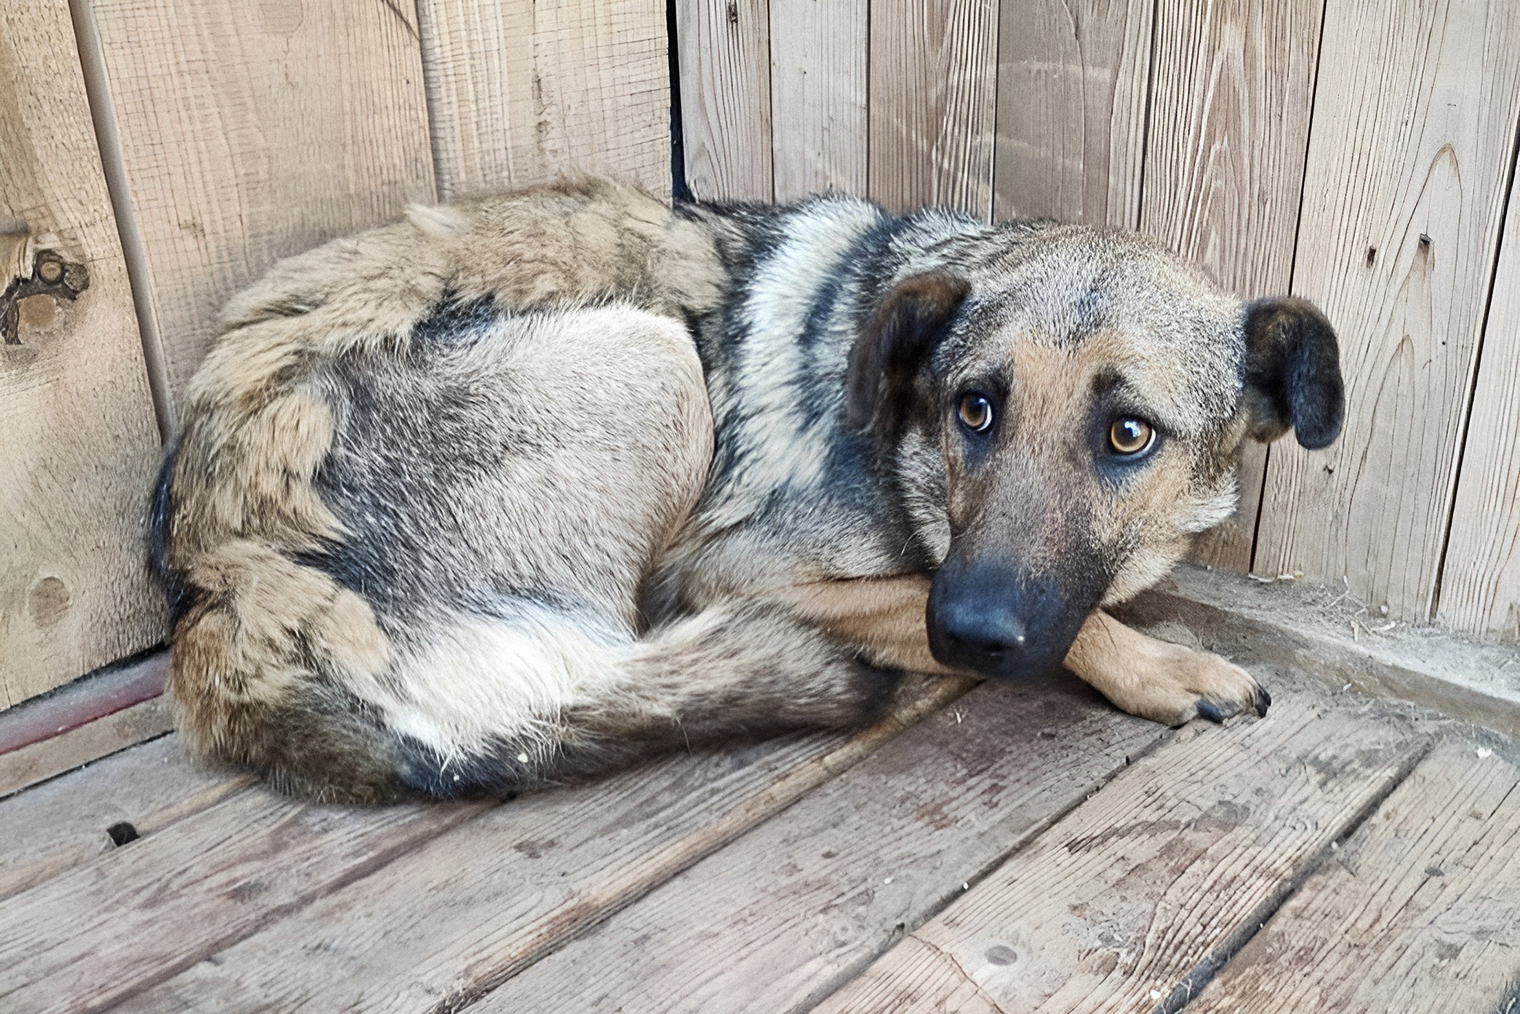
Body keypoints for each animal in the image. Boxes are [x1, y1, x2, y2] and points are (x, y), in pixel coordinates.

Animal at [151, 178, 1343, 802]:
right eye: (975, 409)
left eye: (1128, 435)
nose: (964, 629)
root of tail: (222, 581)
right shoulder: (732, 568)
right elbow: (1068, 617)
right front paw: (1160, 662)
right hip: (652, 365)